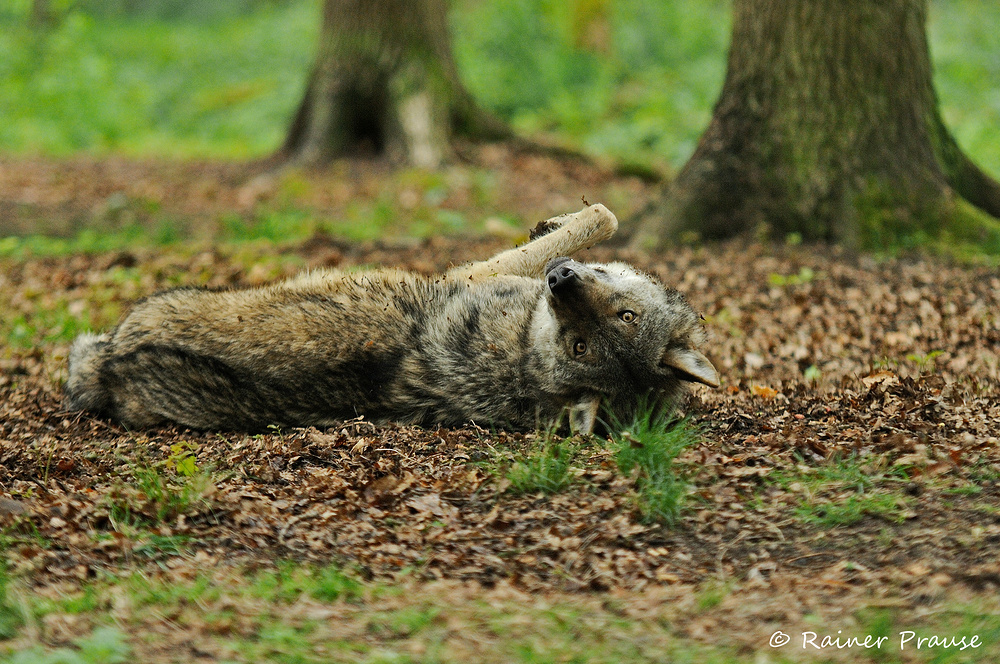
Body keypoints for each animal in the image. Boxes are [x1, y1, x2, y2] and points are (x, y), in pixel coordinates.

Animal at [64, 205, 720, 434]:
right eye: (589, 342)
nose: (562, 281)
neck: (523, 356)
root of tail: (115, 366)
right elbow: (586, 224)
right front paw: (553, 227)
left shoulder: (472, 274)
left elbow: (597, 217)